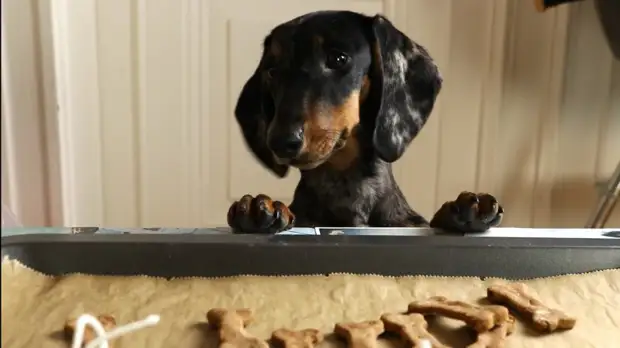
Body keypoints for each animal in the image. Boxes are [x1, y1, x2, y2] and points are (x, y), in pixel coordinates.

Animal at [228, 10, 504, 234]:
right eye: (272, 72)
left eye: (338, 59)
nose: (280, 142)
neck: (347, 184)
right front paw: (257, 207)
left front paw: (460, 211)